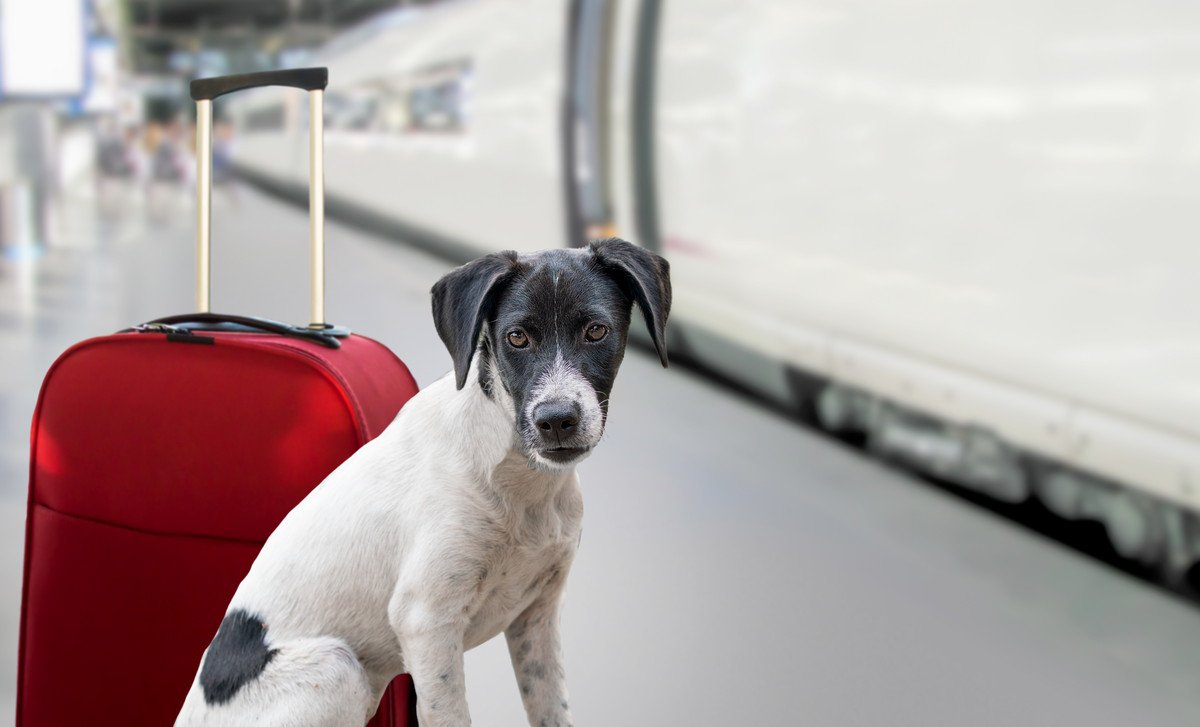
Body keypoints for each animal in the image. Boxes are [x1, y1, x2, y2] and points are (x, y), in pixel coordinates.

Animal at [175, 241, 676, 727]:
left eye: (596, 331)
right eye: (516, 337)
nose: (555, 420)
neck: (520, 482)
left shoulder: (538, 615)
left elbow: (552, 710)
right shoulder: (426, 621)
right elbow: (452, 715)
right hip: (339, 667)